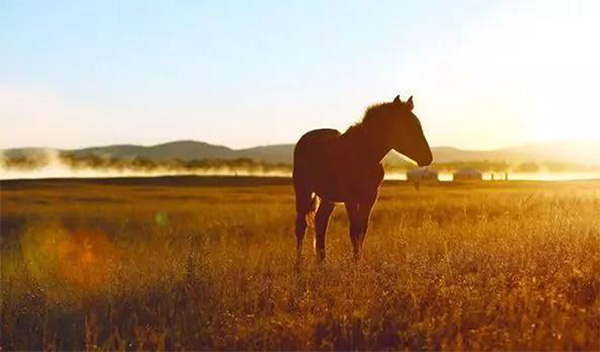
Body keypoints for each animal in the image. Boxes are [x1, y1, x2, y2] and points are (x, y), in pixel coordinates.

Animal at [294, 94, 432, 262]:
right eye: (407, 126)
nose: (427, 158)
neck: (364, 152)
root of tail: (305, 138)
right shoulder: (351, 198)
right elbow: (354, 231)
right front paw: (355, 264)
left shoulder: (370, 196)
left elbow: (362, 231)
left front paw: (358, 262)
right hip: (303, 190)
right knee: (301, 226)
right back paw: (299, 264)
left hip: (328, 198)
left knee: (320, 223)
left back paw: (322, 262)